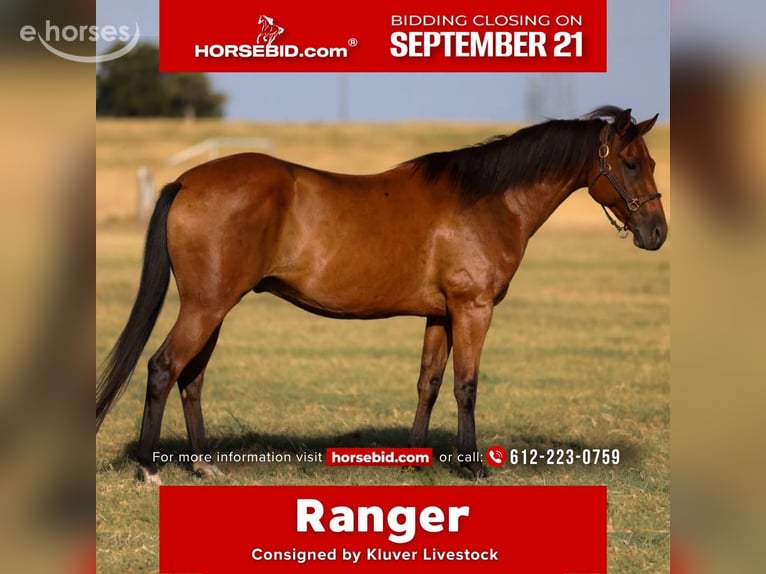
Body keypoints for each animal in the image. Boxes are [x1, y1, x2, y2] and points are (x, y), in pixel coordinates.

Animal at [96, 106, 667, 483]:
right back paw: (149, 469)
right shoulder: (473, 309)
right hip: (206, 305)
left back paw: (204, 464)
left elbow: (429, 383)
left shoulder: (441, 314)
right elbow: (466, 386)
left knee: (191, 378)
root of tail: (187, 182)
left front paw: (416, 459)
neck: (487, 200)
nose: (657, 232)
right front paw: (472, 466)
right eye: (632, 163)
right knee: (164, 368)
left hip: (215, 307)